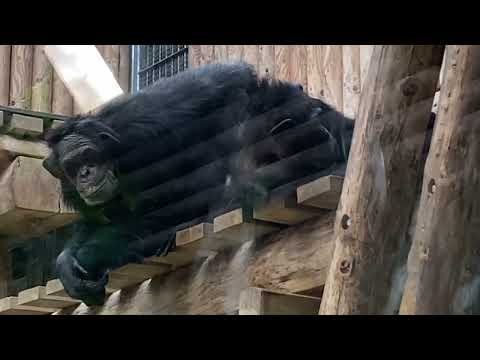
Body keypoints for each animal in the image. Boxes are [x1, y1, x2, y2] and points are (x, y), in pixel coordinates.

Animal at [43, 60, 354, 306]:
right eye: (72, 167)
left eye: (87, 155)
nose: (85, 173)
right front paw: (66, 263)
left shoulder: (140, 121)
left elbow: (219, 79)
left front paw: (89, 255)